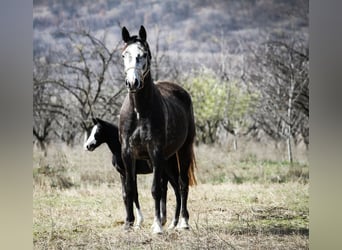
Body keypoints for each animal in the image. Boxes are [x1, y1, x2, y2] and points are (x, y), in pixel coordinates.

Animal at [119, 24, 196, 232]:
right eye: (124, 54)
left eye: (143, 54)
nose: (132, 83)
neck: (139, 111)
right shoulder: (127, 153)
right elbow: (131, 189)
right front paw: (129, 223)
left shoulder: (155, 151)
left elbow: (155, 190)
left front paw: (156, 227)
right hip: (167, 158)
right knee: (172, 186)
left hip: (183, 150)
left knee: (182, 183)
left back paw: (183, 222)